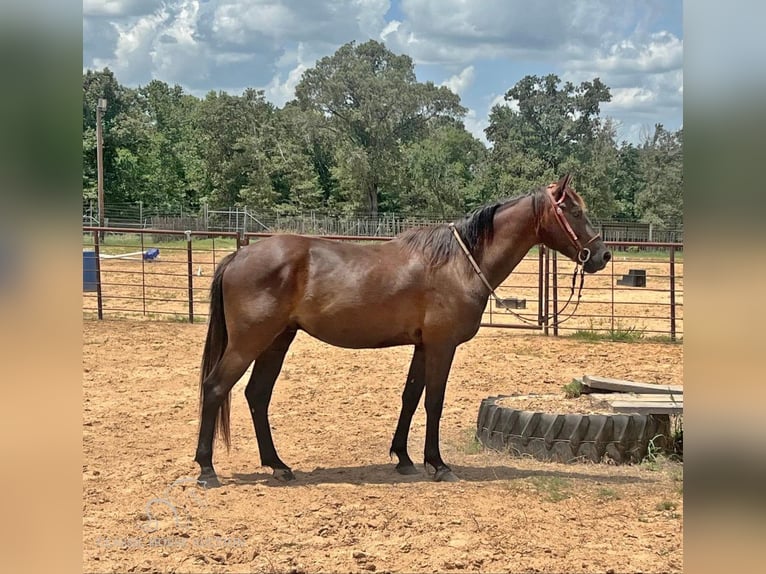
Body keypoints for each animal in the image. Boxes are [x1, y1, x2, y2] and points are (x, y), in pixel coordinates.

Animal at [196, 174, 612, 486]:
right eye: (574, 210)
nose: (602, 255)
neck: (460, 263)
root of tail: (238, 255)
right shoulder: (442, 345)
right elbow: (434, 402)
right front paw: (438, 464)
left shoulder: (423, 346)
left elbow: (410, 397)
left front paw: (404, 458)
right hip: (250, 342)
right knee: (216, 388)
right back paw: (206, 469)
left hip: (277, 340)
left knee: (257, 395)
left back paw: (278, 465)